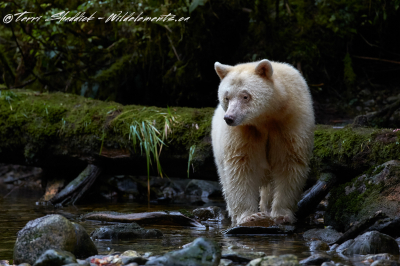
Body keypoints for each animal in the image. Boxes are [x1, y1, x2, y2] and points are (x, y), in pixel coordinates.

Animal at [211, 59, 314, 225]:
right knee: (225, 180)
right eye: (227, 97)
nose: (229, 118)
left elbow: (290, 163)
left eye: (245, 96)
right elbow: (240, 166)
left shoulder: (291, 121)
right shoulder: (243, 132)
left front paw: (282, 215)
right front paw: (249, 216)